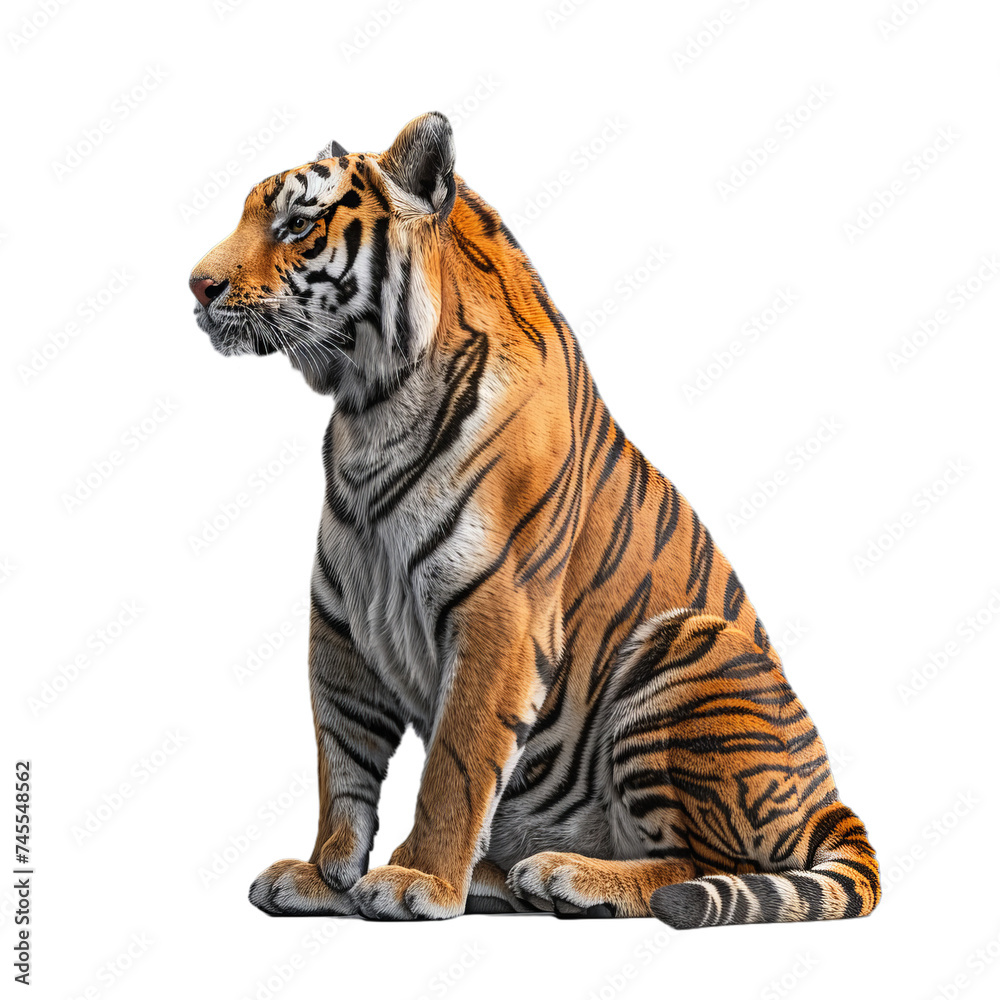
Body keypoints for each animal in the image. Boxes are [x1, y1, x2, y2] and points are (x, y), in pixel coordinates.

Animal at [189, 112, 880, 927]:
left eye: (297, 224)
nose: (196, 285)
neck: (368, 408)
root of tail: (827, 800)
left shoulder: (499, 615)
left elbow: (453, 767)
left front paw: (415, 880)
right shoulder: (339, 629)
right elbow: (343, 767)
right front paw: (326, 877)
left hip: (689, 646)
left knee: (699, 866)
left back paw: (565, 877)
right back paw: (502, 877)